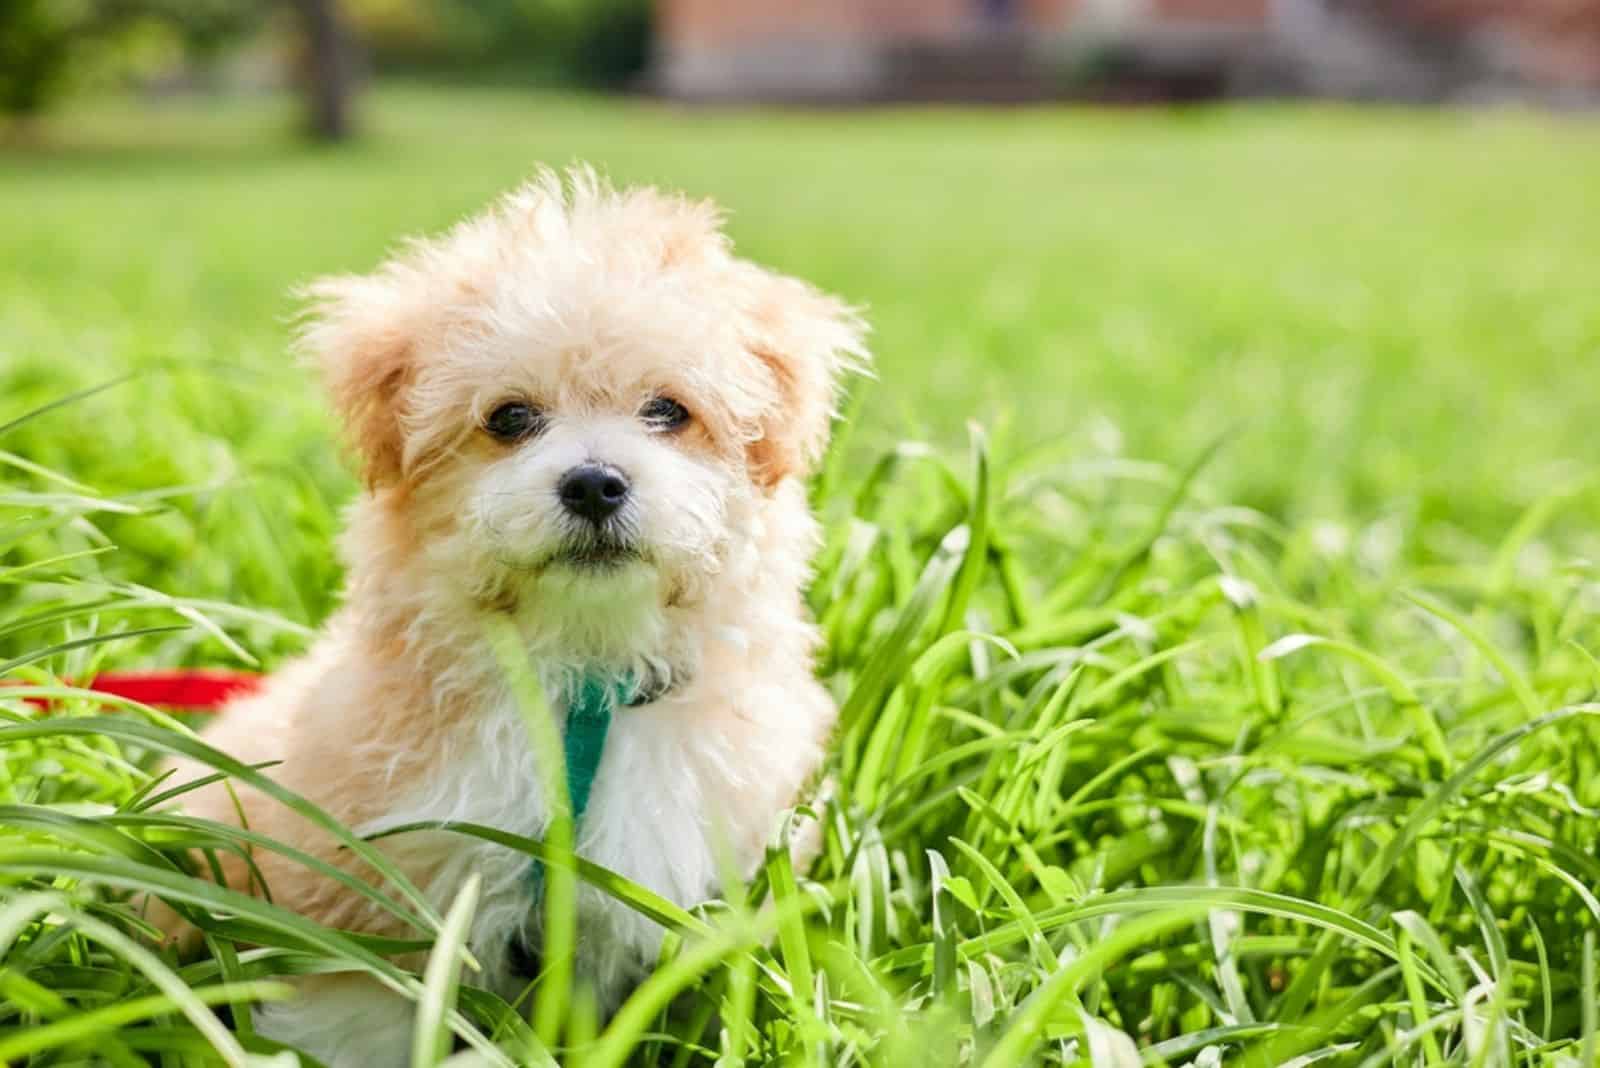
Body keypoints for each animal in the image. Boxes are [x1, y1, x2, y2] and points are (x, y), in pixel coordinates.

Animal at [156, 167, 870, 1061]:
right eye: (509, 418)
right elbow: (365, 1009)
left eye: (669, 410)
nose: (594, 483)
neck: (580, 689)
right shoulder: (362, 885)